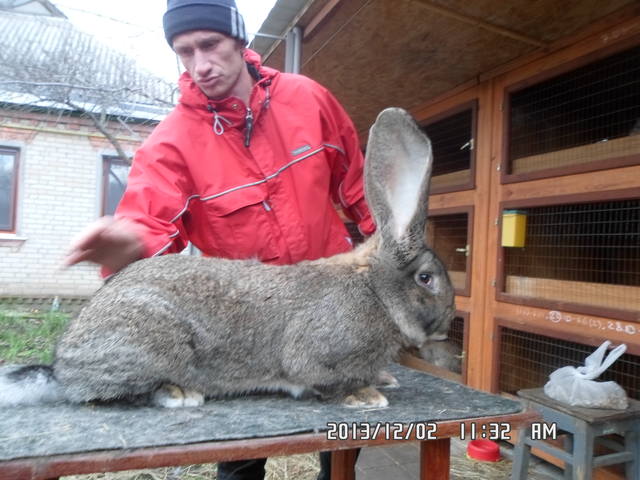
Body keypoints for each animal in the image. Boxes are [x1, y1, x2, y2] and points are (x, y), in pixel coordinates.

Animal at [0, 109, 456, 408]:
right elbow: (321, 379)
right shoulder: (318, 355)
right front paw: (366, 396)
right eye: (427, 279)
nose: (447, 324)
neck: (375, 290)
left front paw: (382, 378)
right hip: (151, 341)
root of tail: (62, 366)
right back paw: (179, 393)